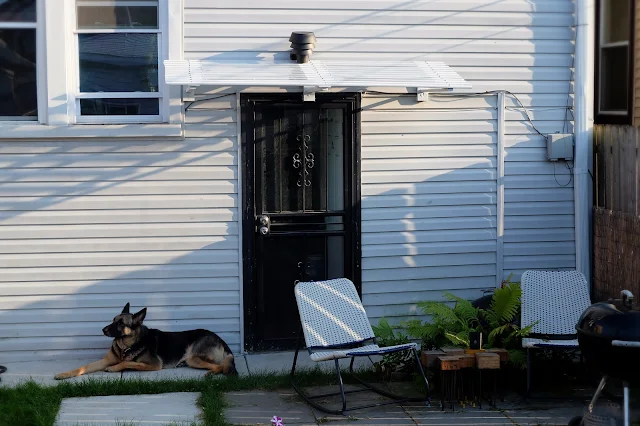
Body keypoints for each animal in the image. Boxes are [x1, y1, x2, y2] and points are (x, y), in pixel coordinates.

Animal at [54, 302, 238, 380]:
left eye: (120, 323)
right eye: (113, 320)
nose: (103, 330)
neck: (126, 345)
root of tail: (220, 339)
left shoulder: (154, 365)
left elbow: (126, 362)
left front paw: (114, 368)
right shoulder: (104, 361)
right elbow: (81, 368)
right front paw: (64, 374)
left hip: (193, 358)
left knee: (220, 366)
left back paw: (210, 373)